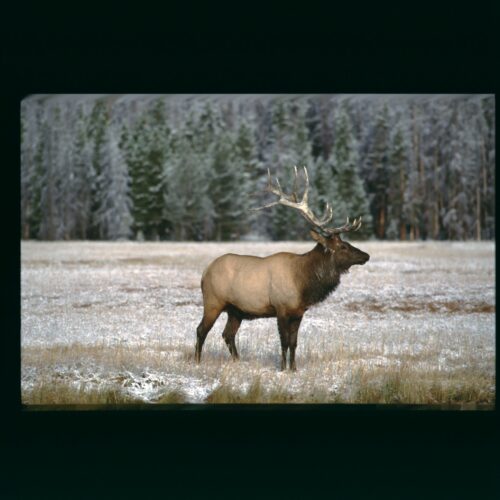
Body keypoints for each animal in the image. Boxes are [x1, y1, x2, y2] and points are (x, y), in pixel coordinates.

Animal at [193, 166, 370, 370]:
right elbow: (284, 341)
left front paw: (293, 368)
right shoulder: (281, 308)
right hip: (213, 301)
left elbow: (294, 342)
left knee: (228, 334)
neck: (304, 283)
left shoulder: (299, 312)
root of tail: (205, 272)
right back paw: (197, 361)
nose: (366, 255)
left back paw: (238, 361)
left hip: (236, 310)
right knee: (201, 330)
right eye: (343, 246)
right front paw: (283, 368)